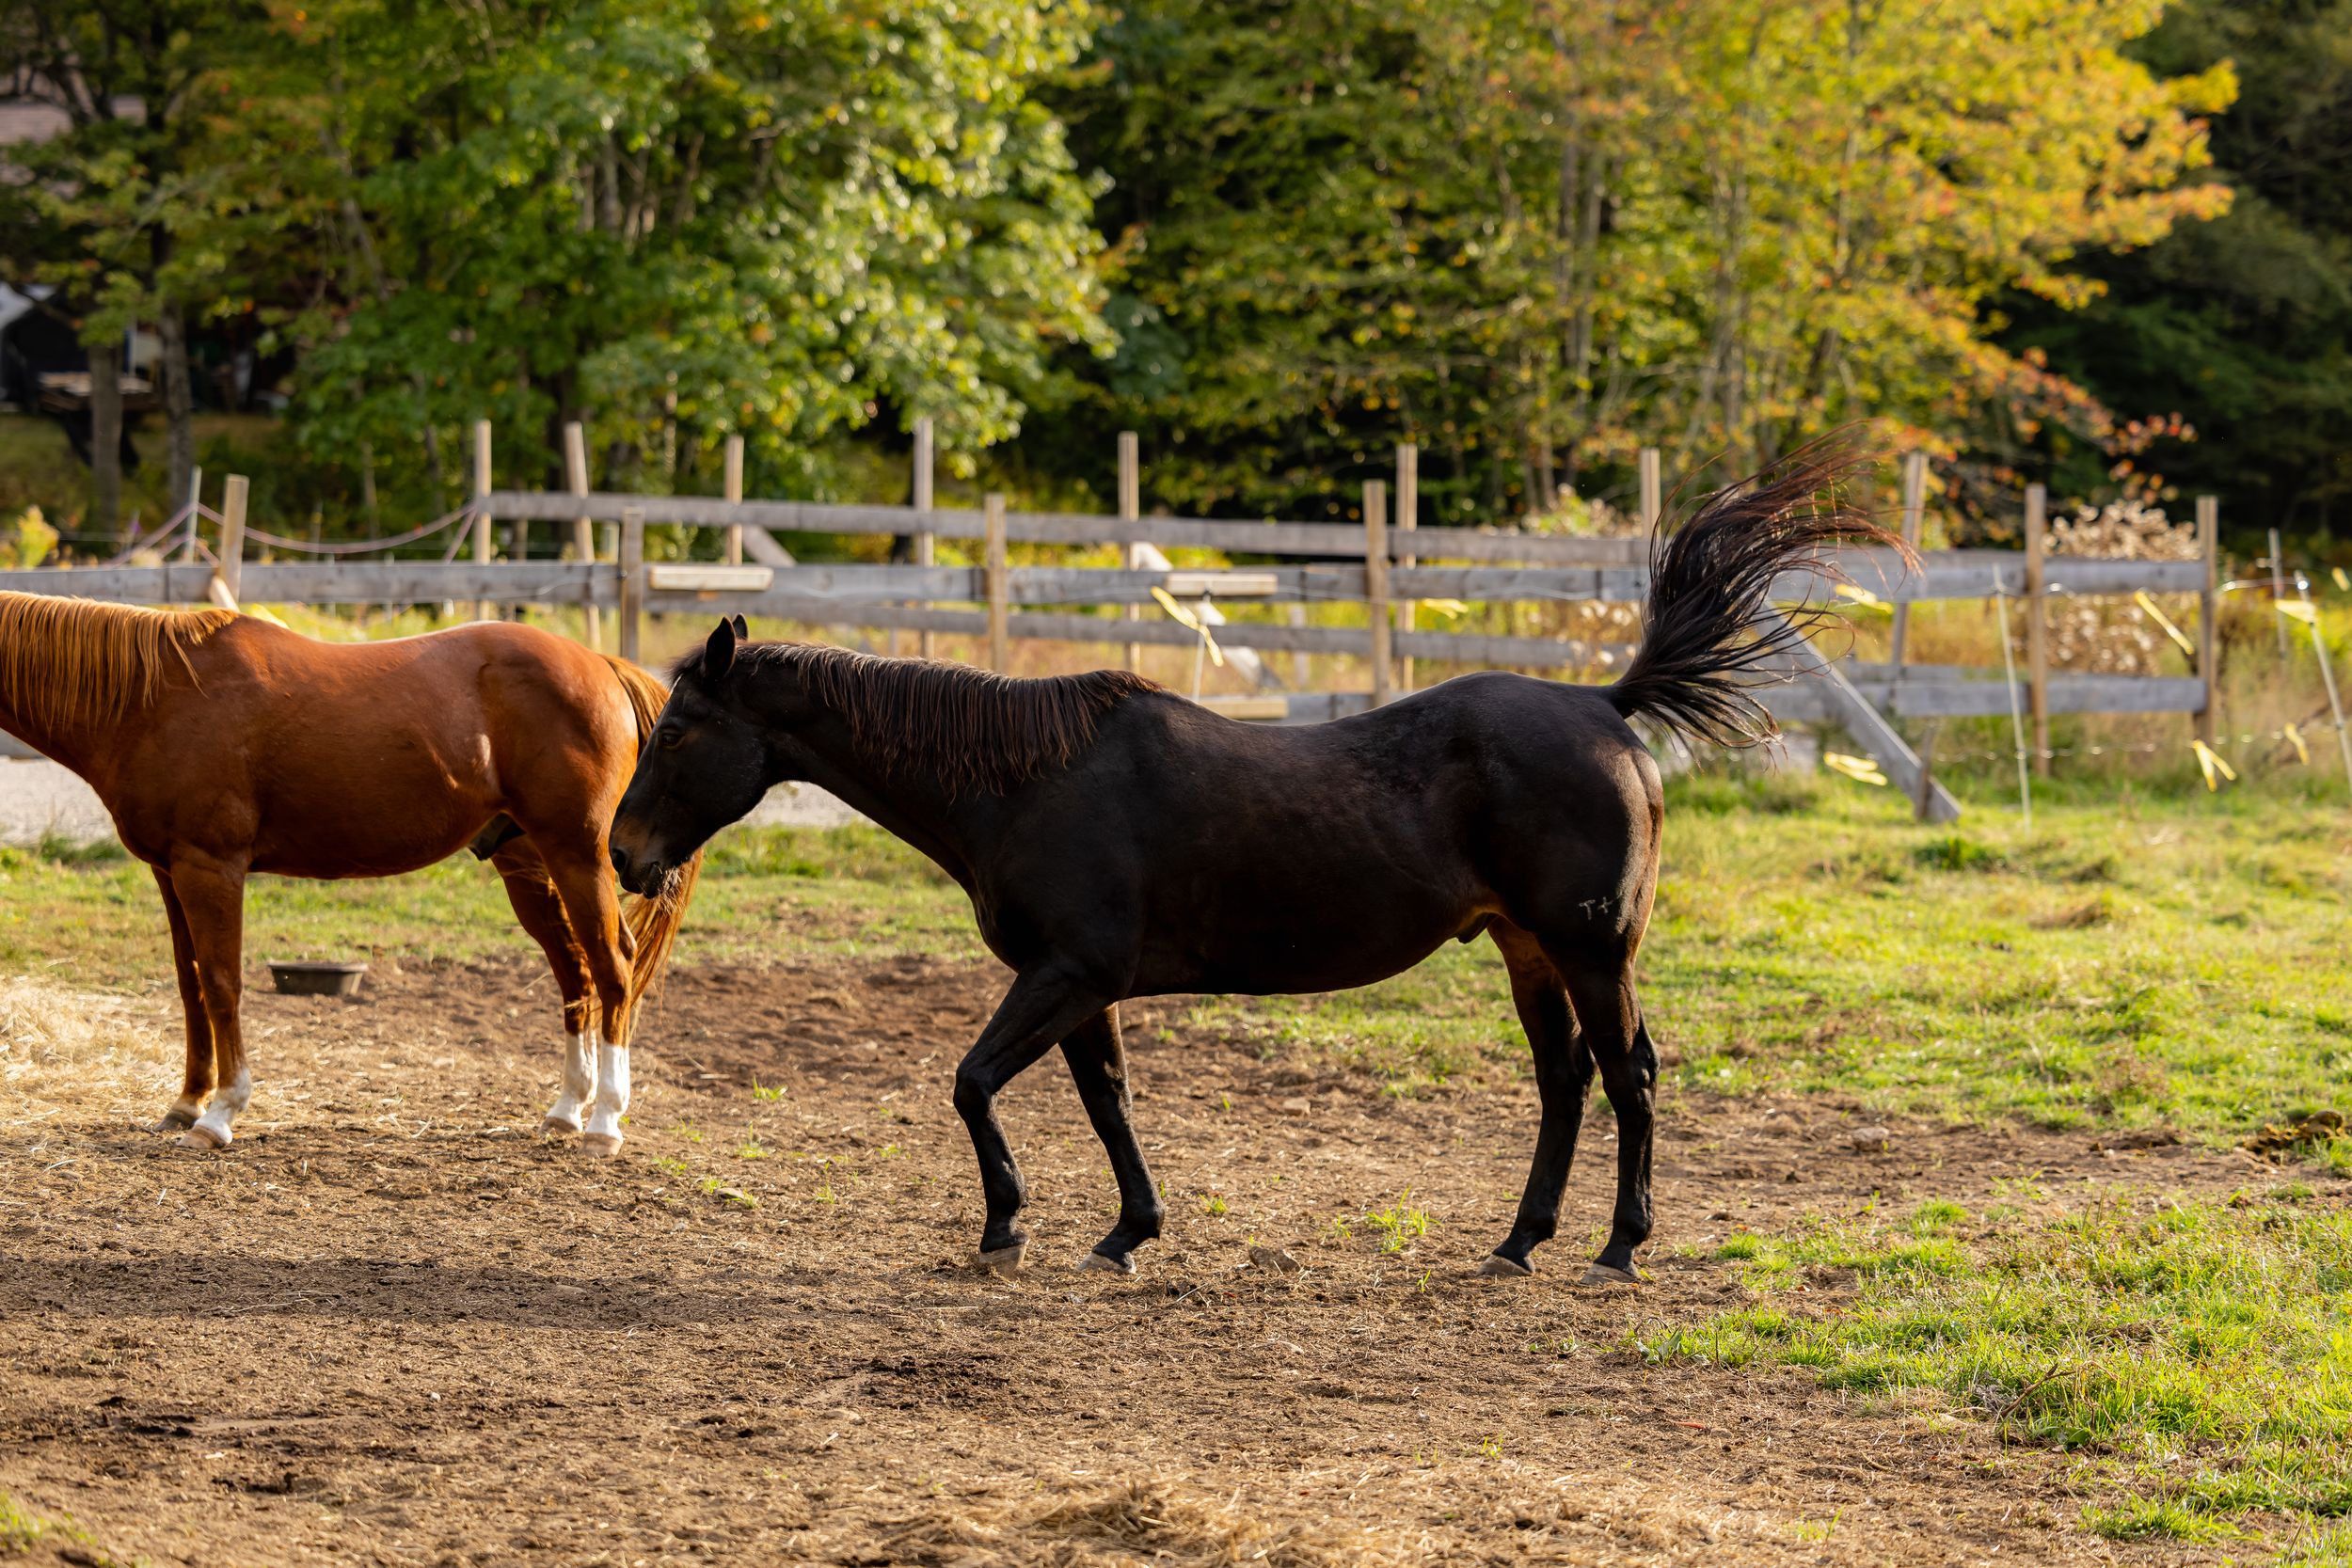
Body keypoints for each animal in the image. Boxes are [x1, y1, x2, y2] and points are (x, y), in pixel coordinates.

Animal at [0, 593, 701, 1155]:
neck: (159, 697)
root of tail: (603, 666)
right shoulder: (169, 872)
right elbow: (190, 982)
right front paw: (186, 1102)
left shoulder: (210, 867)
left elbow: (223, 983)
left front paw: (221, 1113)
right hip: (528, 863)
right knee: (575, 971)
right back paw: (566, 1110)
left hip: (578, 856)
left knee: (613, 967)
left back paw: (605, 1123)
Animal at [609, 455, 1894, 1283]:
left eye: (676, 732)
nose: (623, 853)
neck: (1025, 781)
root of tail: (1606, 705)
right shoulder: (1081, 985)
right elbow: (1107, 1099)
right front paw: (1127, 1230)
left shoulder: (1062, 975)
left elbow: (973, 1083)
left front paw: (1007, 1228)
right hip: (1527, 948)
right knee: (1565, 1080)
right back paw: (1519, 1239)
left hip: (1588, 946)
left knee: (1628, 1073)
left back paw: (1619, 1248)